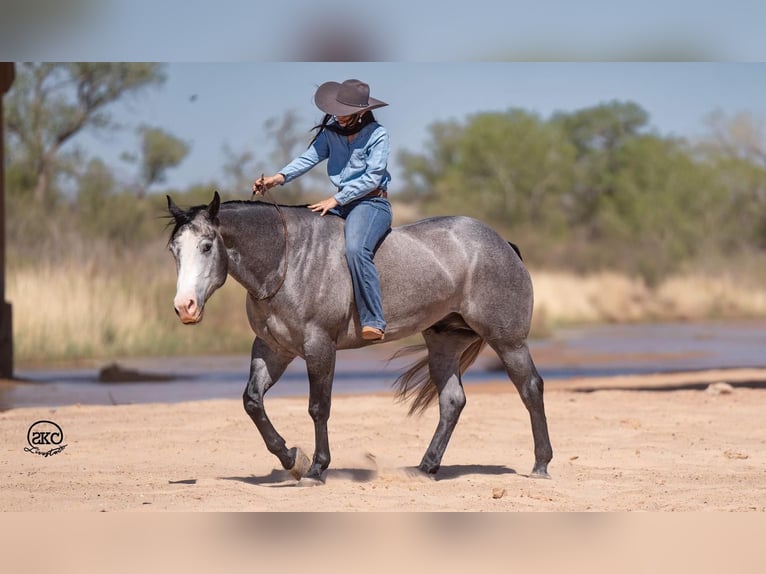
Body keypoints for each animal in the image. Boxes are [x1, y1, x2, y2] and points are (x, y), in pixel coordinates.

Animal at [166, 194, 552, 486]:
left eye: (206, 246)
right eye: (174, 250)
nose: (184, 307)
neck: (288, 262)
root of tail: (502, 244)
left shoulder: (319, 346)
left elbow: (318, 407)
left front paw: (317, 468)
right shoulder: (272, 349)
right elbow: (252, 402)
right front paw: (292, 458)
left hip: (508, 341)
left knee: (530, 388)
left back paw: (541, 465)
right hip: (444, 343)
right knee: (452, 401)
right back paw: (426, 467)